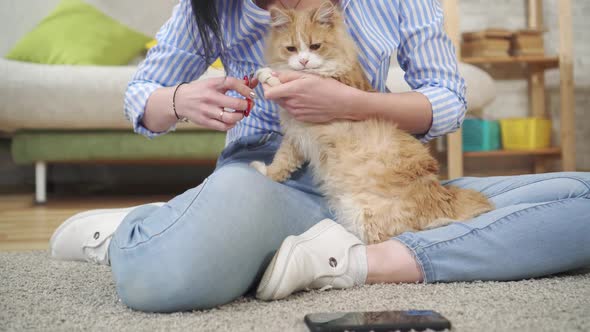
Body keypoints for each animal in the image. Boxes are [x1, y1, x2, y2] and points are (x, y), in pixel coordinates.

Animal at [251, 0, 494, 244]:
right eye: (291, 49)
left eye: (315, 46)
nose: (303, 61)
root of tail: (442, 195)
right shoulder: (295, 136)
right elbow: (282, 162)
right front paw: (265, 171)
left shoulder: (335, 84)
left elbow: (287, 78)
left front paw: (266, 73)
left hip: (365, 214)